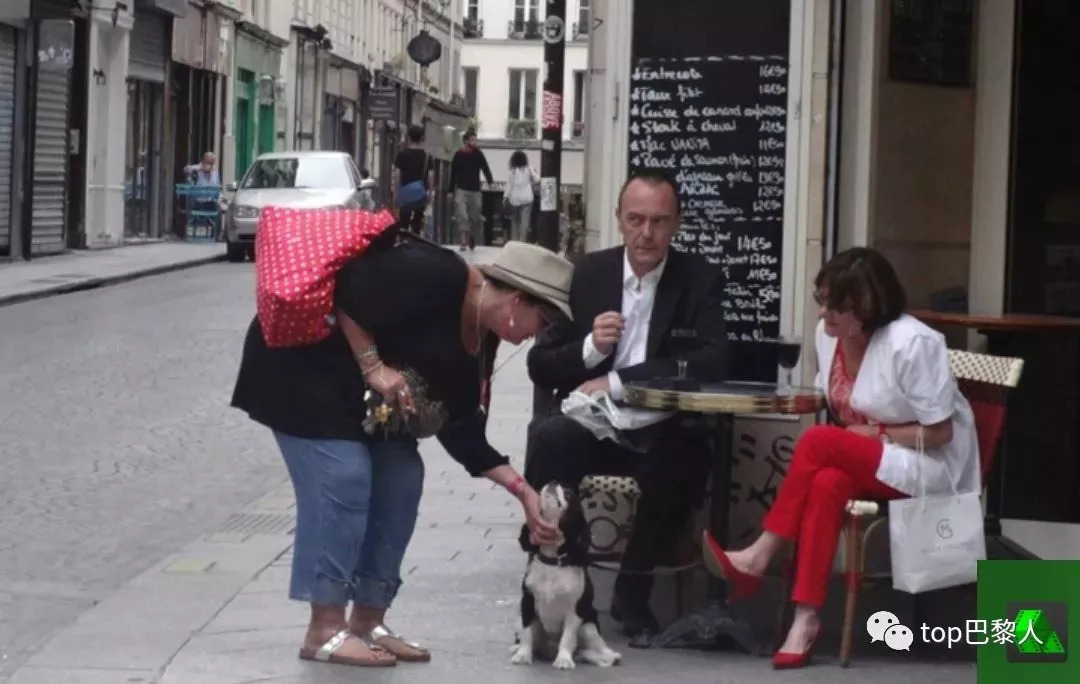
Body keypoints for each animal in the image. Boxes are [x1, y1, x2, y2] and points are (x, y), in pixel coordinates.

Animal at [507, 479, 622, 665]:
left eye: (568, 494)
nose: (553, 482)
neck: (553, 561)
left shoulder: (575, 611)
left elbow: (567, 637)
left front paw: (563, 659)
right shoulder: (527, 602)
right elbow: (527, 633)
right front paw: (523, 654)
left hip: (588, 626)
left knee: (594, 645)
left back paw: (610, 655)